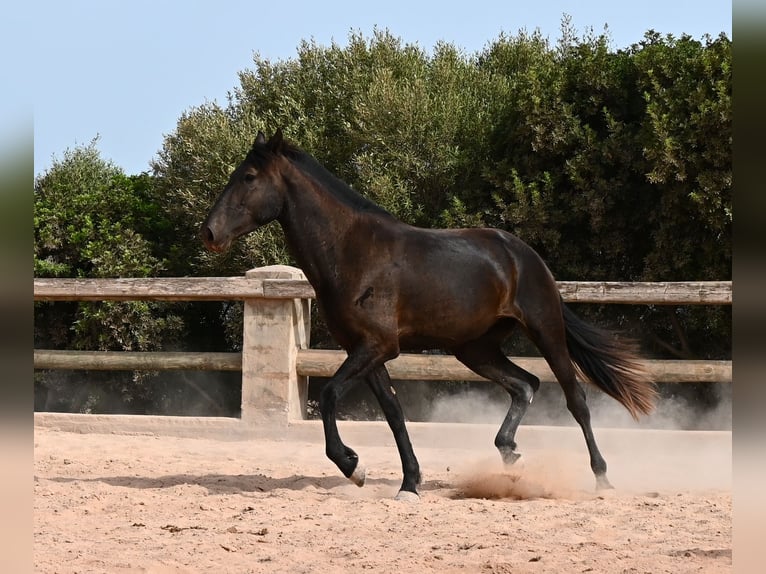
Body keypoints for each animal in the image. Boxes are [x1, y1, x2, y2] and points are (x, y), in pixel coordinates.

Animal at [201, 130, 657, 500]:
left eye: (249, 177)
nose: (209, 233)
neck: (351, 251)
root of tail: (526, 256)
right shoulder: (365, 350)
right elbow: (393, 412)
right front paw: (408, 483)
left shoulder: (379, 345)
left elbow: (330, 395)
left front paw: (354, 467)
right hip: (475, 349)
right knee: (524, 385)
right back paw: (510, 454)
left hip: (545, 331)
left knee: (574, 398)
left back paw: (602, 478)